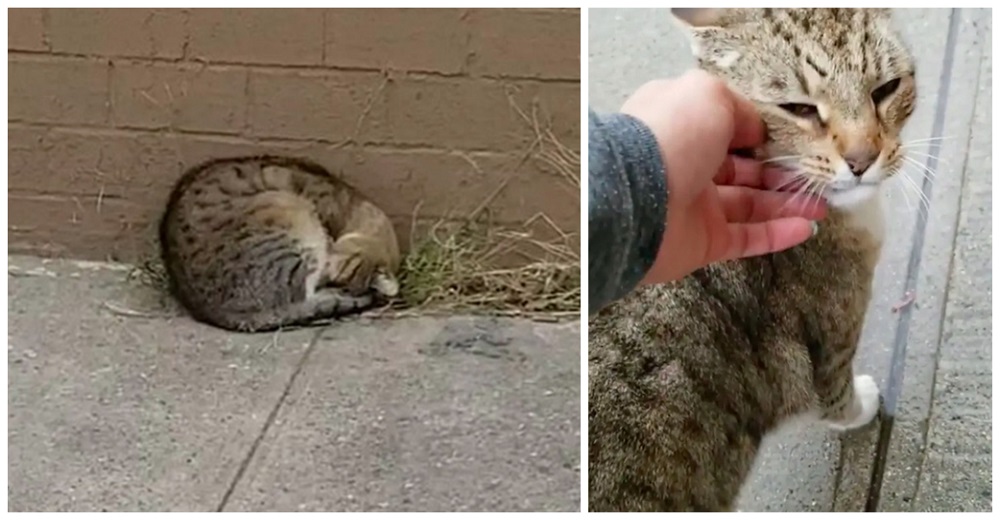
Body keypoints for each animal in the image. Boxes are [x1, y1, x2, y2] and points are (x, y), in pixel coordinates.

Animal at [588, 8, 916, 512]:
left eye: (886, 88)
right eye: (799, 108)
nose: (863, 159)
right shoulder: (831, 347)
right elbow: (838, 397)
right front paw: (863, 405)